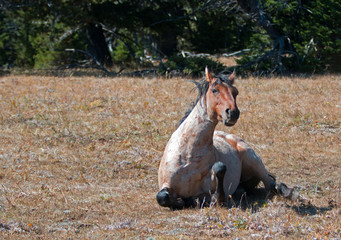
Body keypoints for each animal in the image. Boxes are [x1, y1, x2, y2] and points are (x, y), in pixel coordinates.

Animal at [155, 67, 294, 210]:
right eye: (214, 90)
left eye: (235, 92)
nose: (233, 113)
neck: (188, 156)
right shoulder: (165, 184)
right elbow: (162, 197)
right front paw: (179, 201)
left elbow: (218, 176)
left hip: (254, 162)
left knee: (271, 184)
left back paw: (287, 192)